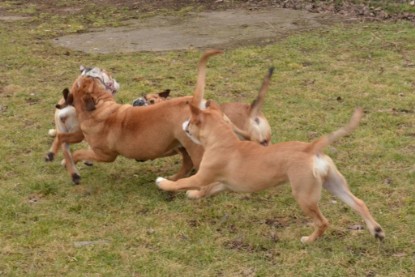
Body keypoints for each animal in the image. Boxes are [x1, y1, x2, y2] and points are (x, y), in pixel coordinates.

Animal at [157, 103, 386, 242]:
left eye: (190, 120)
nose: (183, 123)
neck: (223, 139)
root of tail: (310, 148)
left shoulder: (202, 176)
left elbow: (181, 182)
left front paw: (163, 183)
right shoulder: (221, 184)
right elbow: (205, 190)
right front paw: (194, 195)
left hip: (304, 196)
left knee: (323, 222)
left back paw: (309, 240)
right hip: (335, 185)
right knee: (359, 203)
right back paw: (376, 230)